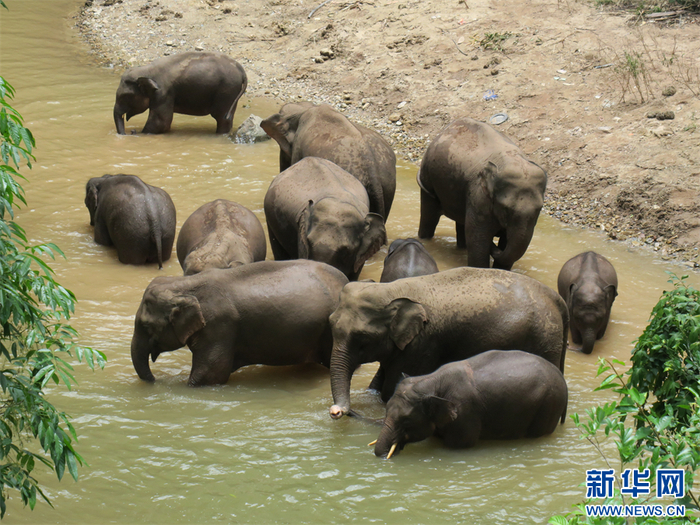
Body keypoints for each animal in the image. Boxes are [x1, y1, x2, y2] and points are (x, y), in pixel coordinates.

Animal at [113, 52, 247, 135]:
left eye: (125, 96)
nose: (130, 131)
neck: (146, 69)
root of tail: (241, 69)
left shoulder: (163, 93)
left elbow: (161, 122)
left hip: (227, 91)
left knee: (222, 118)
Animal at [131, 260, 349, 386]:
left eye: (146, 326)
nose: (155, 380)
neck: (184, 285)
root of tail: (346, 280)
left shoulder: (219, 327)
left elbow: (209, 375)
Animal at [328, 266, 568, 419]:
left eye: (363, 339)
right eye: (330, 322)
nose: (336, 411)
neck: (393, 289)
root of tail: (557, 299)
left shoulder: (422, 345)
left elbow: (389, 391)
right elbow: (378, 382)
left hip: (544, 339)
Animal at [373, 350, 568, 459]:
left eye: (406, 420)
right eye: (386, 411)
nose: (385, 455)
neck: (432, 379)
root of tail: (562, 379)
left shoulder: (465, 414)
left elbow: (459, 445)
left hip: (549, 404)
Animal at [417, 118, 547, 270]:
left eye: (539, 209)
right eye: (505, 209)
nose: (493, 245)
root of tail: (445, 129)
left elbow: (506, 243)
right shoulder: (479, 196)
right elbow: (478, 238)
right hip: (427, 179)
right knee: (430, 216)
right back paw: (425, 240)